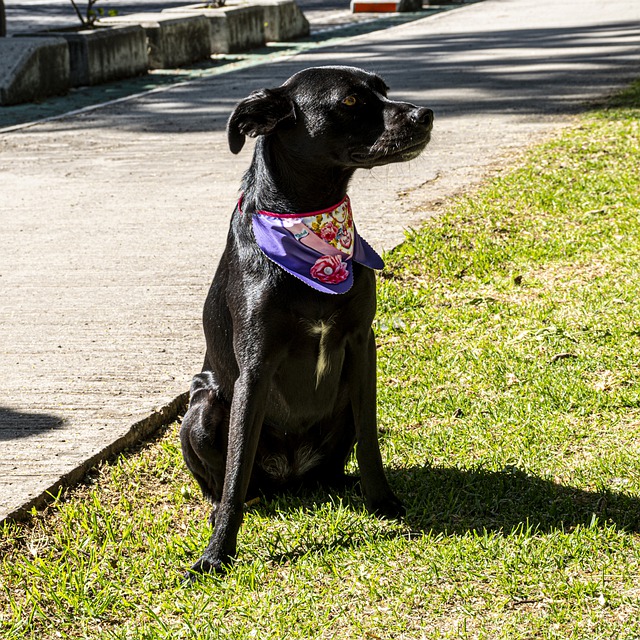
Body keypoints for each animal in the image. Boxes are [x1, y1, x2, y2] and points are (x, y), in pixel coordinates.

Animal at [180, 65, 432, 576]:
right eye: (350, 101)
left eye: (383, 89)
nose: (426, 114)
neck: (307, 225)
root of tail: (291, 477)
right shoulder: (255, 367)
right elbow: (236, 470)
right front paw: (218, 551)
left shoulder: (361, 346)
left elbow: (371, 446)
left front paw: (384, 504)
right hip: (202, 408)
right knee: (228, 482)